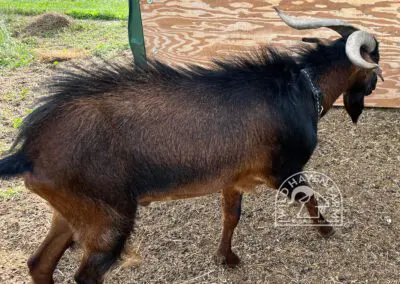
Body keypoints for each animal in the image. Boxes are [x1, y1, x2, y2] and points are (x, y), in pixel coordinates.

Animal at [0, 7, 382, 282]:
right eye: (375, 58)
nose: (378, 84)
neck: (303, 87)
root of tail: (29, 151)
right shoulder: (285, 172)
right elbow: (310, 198)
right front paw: (328, 230)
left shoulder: (233, 178)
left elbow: (231, 216)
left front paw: (227, 258)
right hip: (108, 219)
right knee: (86, 275)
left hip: (71, 211)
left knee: (39, 264)